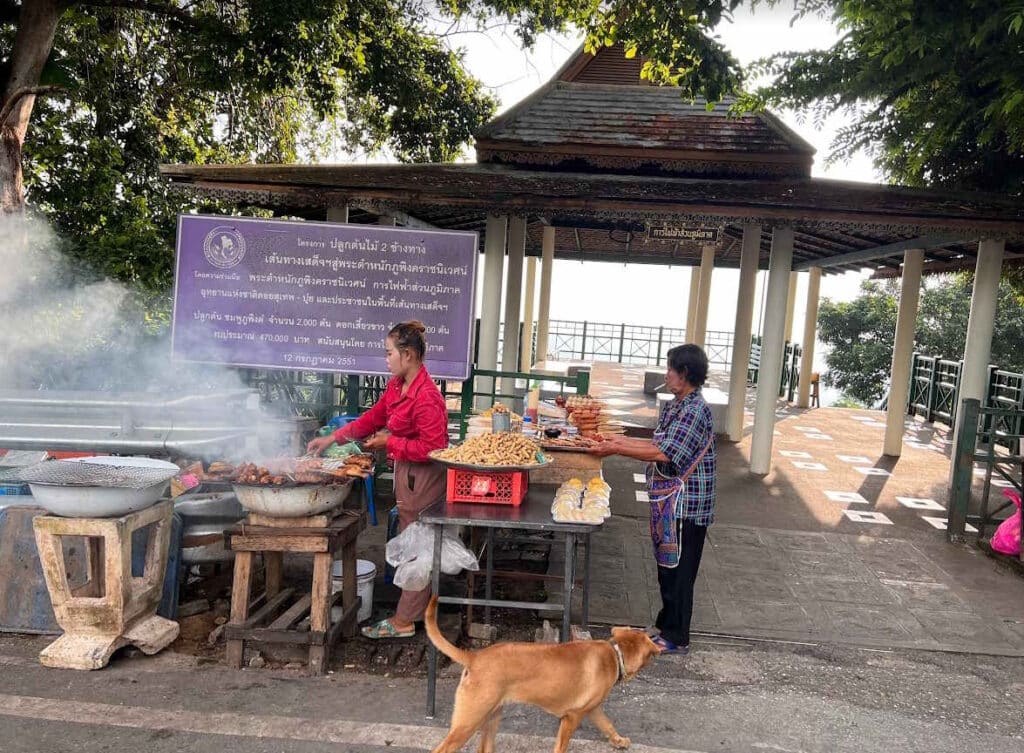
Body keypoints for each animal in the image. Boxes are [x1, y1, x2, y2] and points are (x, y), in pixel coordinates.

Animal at [425, 598, 659, 749]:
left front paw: (619, 741)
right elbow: (561, 747)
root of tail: (474, 657)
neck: (615, 654)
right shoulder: (571, 717)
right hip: (468, 721)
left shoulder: (594, 710)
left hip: (491, 718)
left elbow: (608, 725)